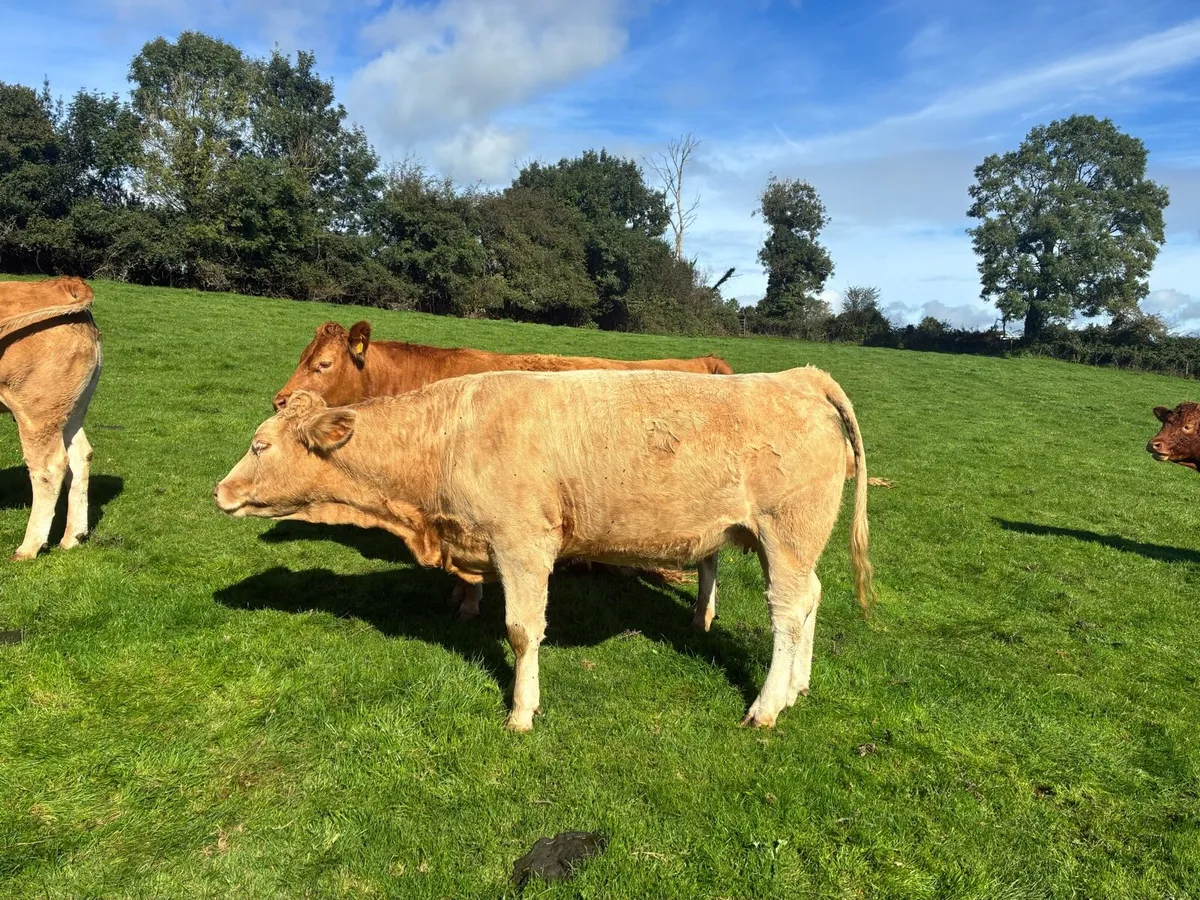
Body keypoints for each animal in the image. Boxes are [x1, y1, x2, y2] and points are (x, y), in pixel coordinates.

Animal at [0, 277, 102, 559]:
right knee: (81, 456)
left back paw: (29, 548)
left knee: (49, 467)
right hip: (70, 409)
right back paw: (73, 537)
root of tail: (65, 283)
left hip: (36, 412)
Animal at [215, 365, 874, 732]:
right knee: (809, 600)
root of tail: (799, 376)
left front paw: (521, 712)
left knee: (785, 614)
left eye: (260, 446)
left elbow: (521, 631)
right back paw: (798, 686)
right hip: (789, 543)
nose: (220, 490)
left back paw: (767, 706)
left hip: (787, 533)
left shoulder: (523, 545)